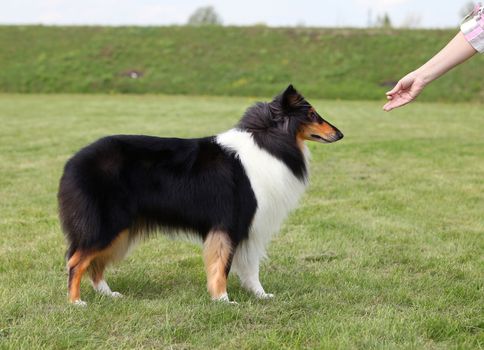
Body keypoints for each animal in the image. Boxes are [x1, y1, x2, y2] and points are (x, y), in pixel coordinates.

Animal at [57, 83, 344, 304]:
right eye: (312, 114)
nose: (340, 134)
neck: (269, 142)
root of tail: (72, 162)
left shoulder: (249, 229)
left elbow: (251, 267)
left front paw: (261, 296)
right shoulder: (230, 225)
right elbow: (222, 266)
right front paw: (223, 300)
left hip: (119, 230)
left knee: (94, 265)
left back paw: (108, 294)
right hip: (107, 225)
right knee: (75, 261)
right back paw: (76, 302)